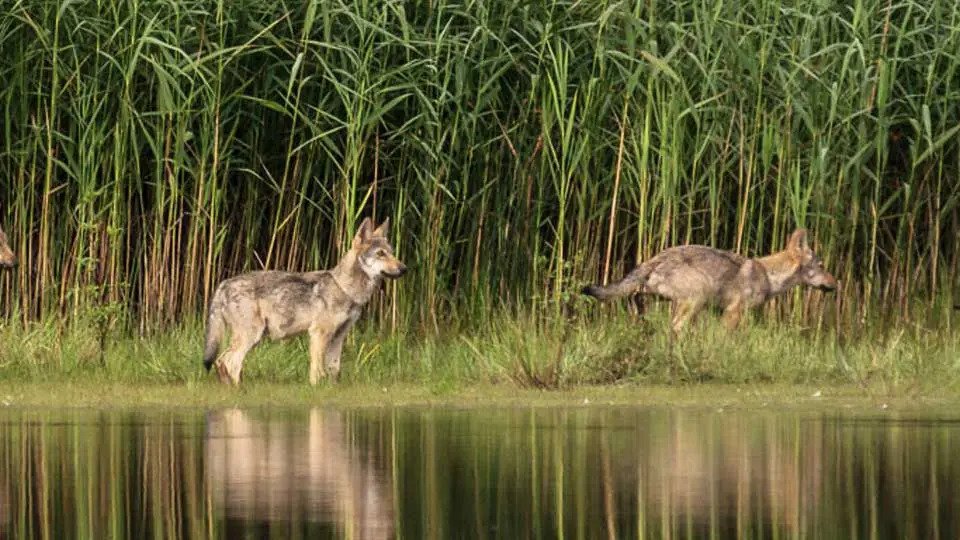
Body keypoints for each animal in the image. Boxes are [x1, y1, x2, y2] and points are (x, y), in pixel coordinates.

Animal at [203, 217, 406, 385]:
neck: (344, 288)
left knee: (222, 363)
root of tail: (224, 283)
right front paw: (316, 391)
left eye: (392, 252)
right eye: (380, 254)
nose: (404, 268)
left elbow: (334, 370)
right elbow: (317, 371)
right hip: (251, 336)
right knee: (230, 363)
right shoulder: (318, 334)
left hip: (253, 338)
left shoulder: (338, 337)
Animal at [582, 228, 837, 333]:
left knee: (637, 302)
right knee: (676, 327)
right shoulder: (733, 313)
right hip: (697, 298)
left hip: (656, 297)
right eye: (822, 266)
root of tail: (655, 258)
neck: (767, 274)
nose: (838, 284)